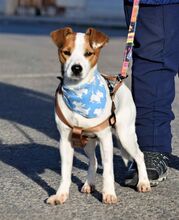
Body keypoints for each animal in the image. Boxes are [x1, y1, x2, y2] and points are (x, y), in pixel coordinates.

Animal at [46, 27, 150, 205]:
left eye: (88, 53)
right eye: (66, 52)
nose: (76, 68)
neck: (79, 92)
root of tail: (119, 82)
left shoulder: (105, 139)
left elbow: (108, 170)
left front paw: (109, 194)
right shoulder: (65, 140)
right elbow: (65, 172)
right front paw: (61, 194)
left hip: (125, 135)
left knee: (139, 155)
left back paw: (143, 182)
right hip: (86, 141)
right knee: (93, 162)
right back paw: (89, 184)